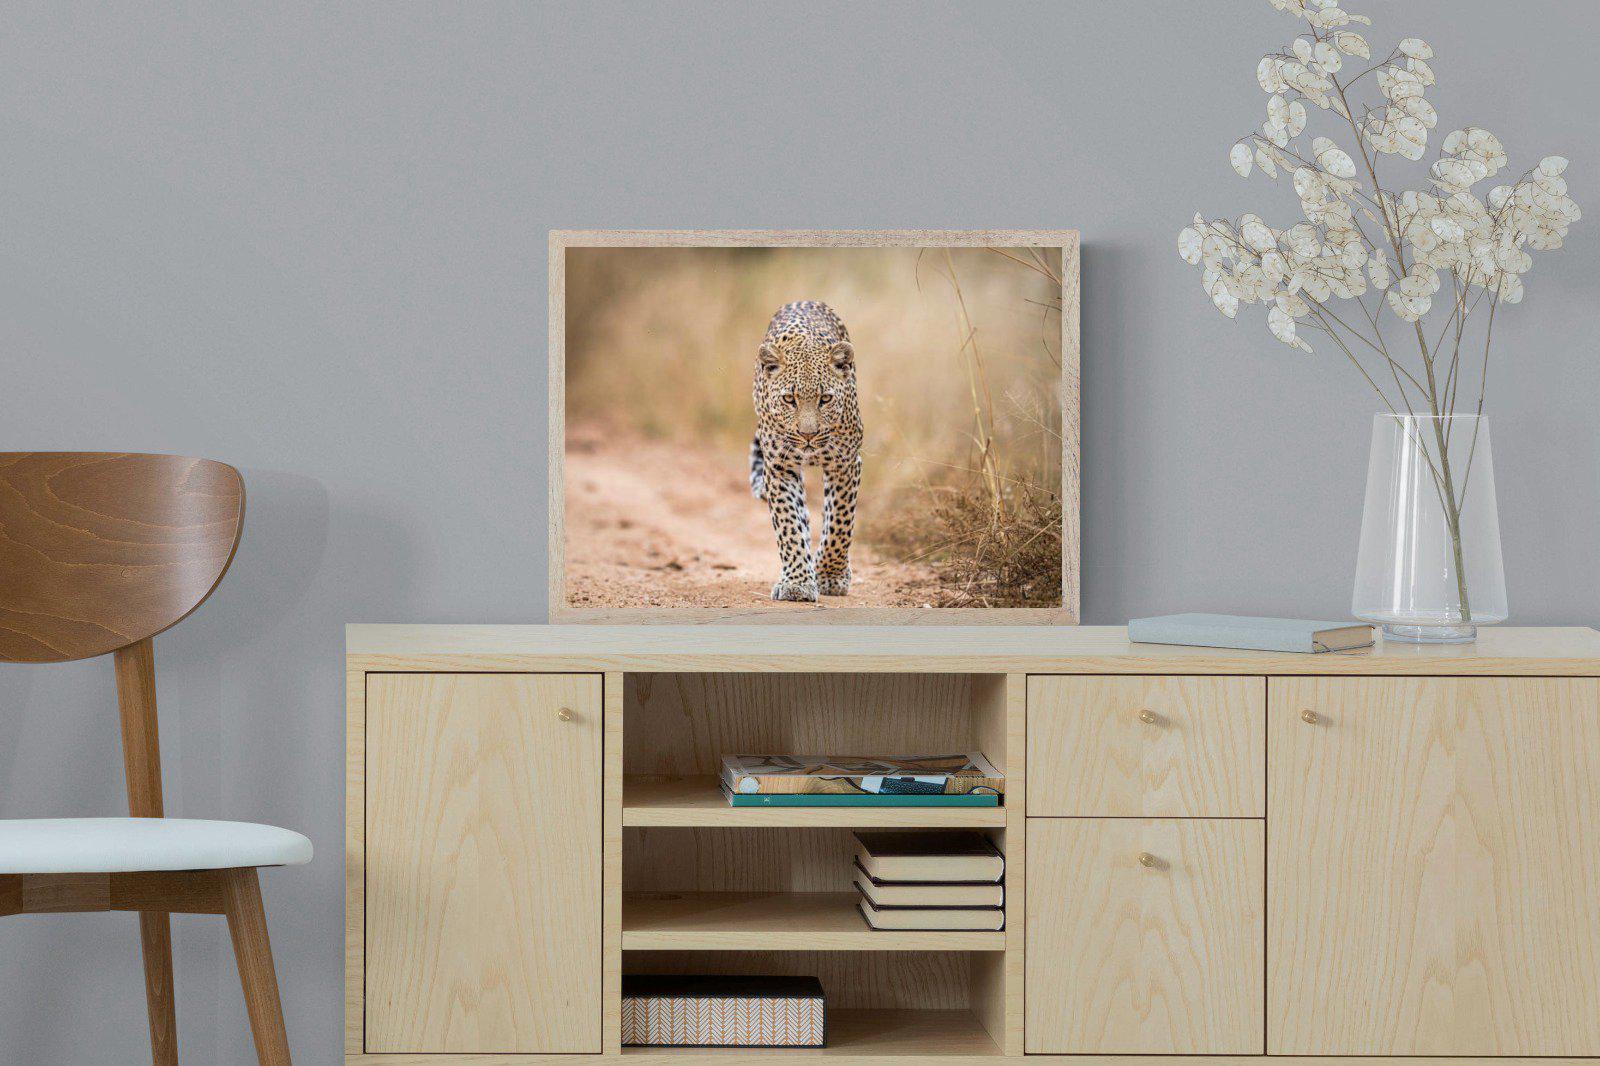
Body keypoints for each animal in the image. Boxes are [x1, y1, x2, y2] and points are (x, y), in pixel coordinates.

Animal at [748, 300, 863, 602]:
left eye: (826, 399)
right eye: (790, 399)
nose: (807, 435)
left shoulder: (846, 463)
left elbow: (839, 523)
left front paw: (830, 576)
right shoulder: (779, 467)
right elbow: (789, 524)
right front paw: (797, 583)